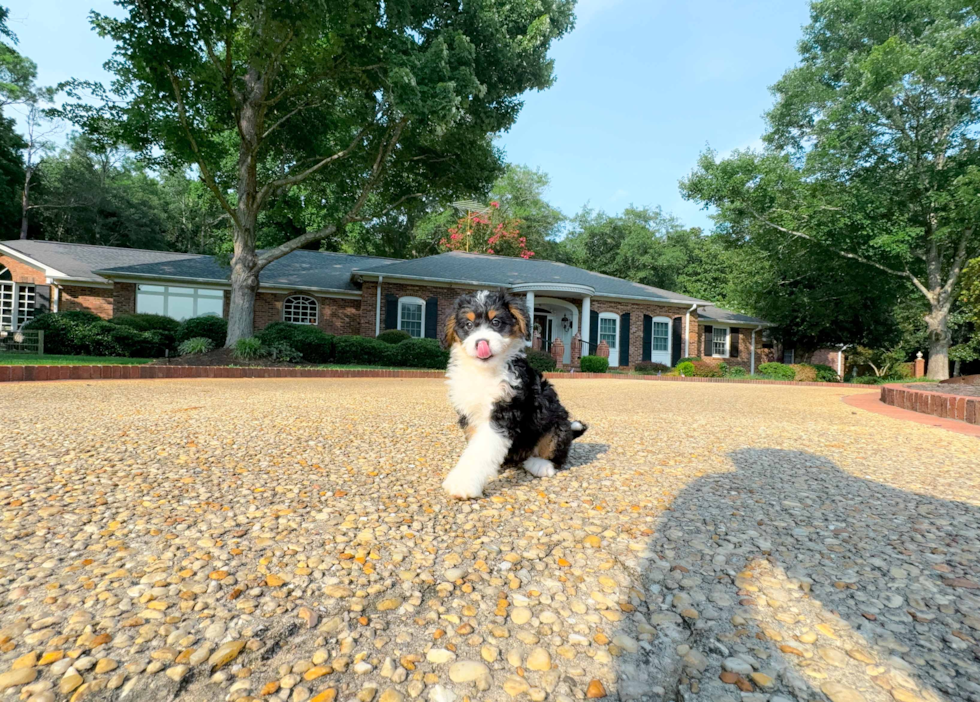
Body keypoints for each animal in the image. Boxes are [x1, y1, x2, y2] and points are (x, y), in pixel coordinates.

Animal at [442, 288, 588, 500]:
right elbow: (476, 447)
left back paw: (539, 465)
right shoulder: (469, 414)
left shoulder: (504, 413)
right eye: (468, 325)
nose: (481, 342)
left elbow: (480, 451)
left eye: (496, 322)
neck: (485, 371)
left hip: (556, 422)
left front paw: (462, 483)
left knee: (557, 454)